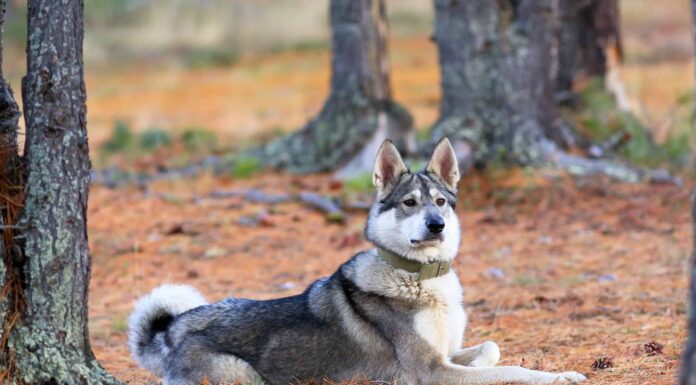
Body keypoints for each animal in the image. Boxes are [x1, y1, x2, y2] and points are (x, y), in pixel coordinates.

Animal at [129, 139, 588, 384]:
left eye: (441, 202)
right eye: (409, 203)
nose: (437, 225)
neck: (420, 278)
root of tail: (172, 332)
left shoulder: (448, 354)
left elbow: (491, 349)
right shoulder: (432, 372)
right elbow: (514, 371)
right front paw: (561, 377)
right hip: (241, 375)